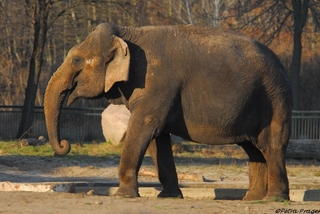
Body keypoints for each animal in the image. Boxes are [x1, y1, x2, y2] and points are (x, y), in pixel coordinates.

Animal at [44, 23, 292, 201]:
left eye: (76, 60)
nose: (65, 145)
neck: (128, 33)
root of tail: (282, 66)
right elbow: (157, 137)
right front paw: (168, 196)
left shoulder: (157, 83)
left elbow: (143, 127)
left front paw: (123, 196)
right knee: (254, 149)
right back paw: (251, 200)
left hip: (274, 100)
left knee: (271, 145)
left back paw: (273, 200)